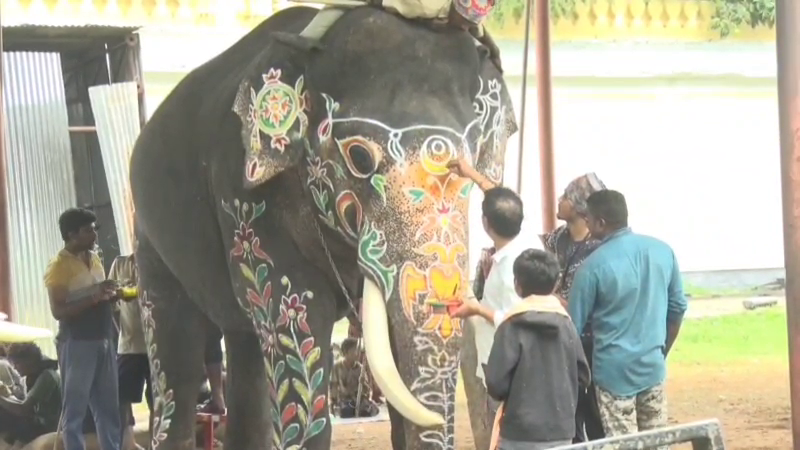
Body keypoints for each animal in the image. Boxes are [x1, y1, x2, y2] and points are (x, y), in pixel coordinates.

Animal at [130, 4, 520, 450]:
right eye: (360, 158)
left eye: (471, 165)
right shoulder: (245, 197)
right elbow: (298, 318)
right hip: (148, 236)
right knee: (176, 358)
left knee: (245, 343)